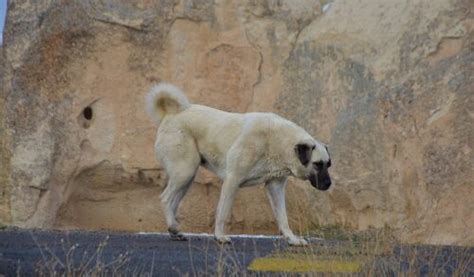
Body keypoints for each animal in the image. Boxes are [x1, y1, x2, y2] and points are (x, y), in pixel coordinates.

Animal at [143, 81, 332, 244]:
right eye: (317, 164)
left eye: (328, 164)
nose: (329, 184)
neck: (278, 141)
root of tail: (172, 113)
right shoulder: (232, 181)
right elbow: (223, 212)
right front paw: (220, 236)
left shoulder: (275, 186)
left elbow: (283, 217)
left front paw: (292, 239)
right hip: (185, 171)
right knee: (165, 199)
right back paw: (174, 227)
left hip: (186, 177)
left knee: (173, 202)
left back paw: (174, 230)